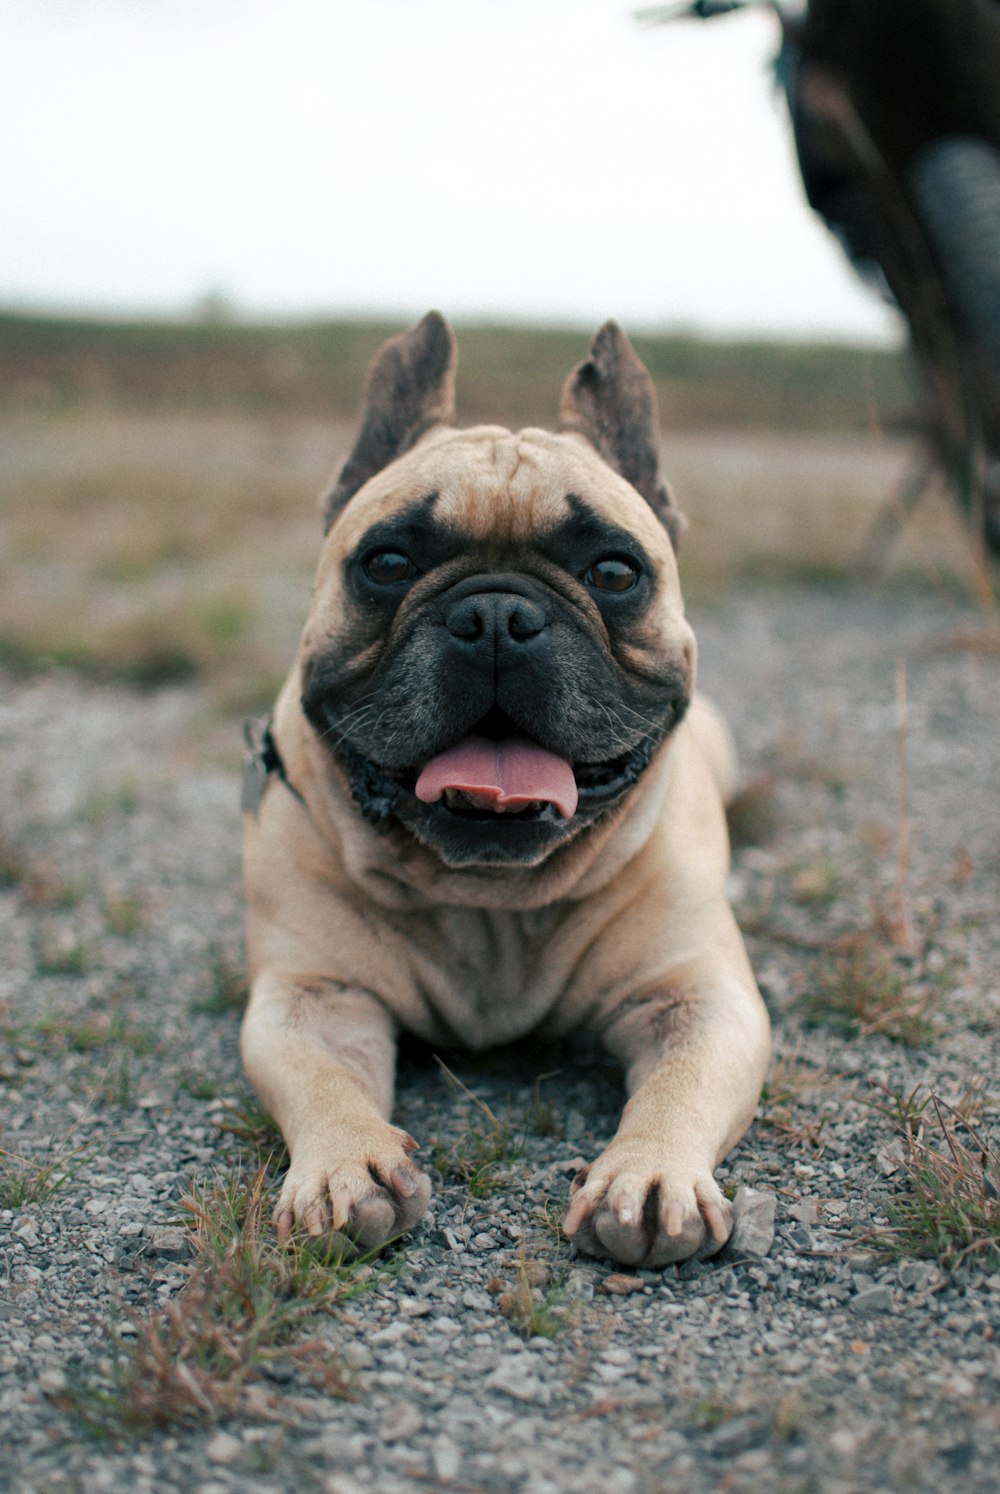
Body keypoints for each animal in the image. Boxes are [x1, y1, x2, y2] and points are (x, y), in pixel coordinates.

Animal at [237, 309, 771, 1266]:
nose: (495, 615)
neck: (490, 897)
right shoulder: (313, 998)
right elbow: (320, 1077)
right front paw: (345, 1166)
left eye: (614, 572)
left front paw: (650, 1173)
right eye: (386, 562)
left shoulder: (697, 998)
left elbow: (681, 1084)